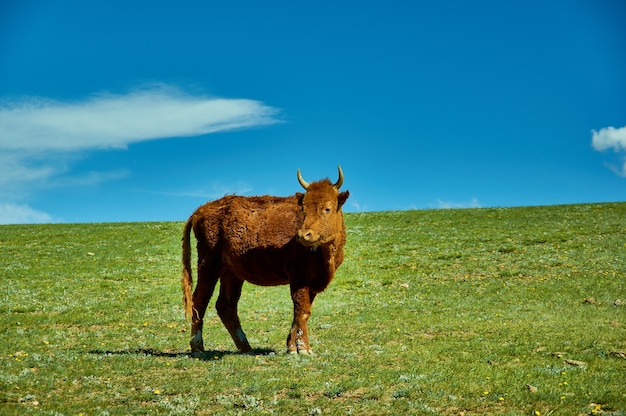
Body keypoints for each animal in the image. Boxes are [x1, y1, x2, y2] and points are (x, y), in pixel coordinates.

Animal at [180, 167, 348, 356]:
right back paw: (198, 348)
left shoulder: (311, 282)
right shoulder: (298, 278)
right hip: (208, 264)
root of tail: (200, 210)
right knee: (200, 300)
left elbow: (301, 312)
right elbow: (302, 310)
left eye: (327, 208)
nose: (303, 235)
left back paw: (247, 348)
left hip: (232, 273)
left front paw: (292, 347)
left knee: (226, 305)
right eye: (303, 208)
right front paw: (303, 349)